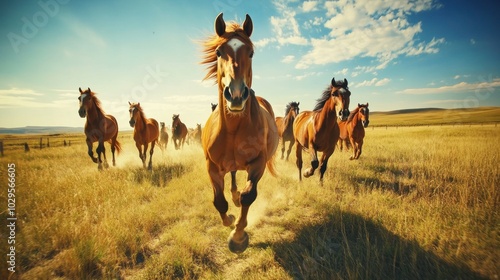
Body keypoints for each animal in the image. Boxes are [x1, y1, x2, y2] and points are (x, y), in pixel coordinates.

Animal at [199, 12, 280, 254]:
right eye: (218, 52)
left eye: (251, 52)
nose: (235, 95)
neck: (234, 130)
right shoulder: (211, 166)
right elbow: (219, 202)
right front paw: (230, 220)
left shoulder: (259, 162)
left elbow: (249, 195)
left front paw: (238, 236)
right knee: (233, 176)